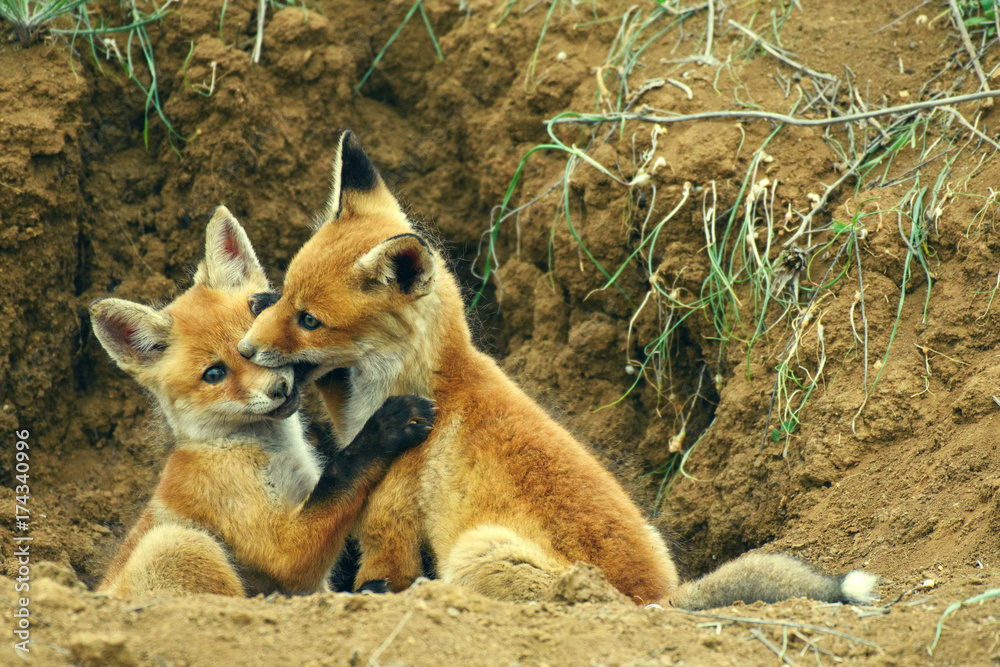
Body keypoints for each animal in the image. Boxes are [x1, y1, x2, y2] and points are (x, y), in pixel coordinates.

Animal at [89, 206, 435, 598]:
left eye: (252, 335)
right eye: (214, 374)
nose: (279, 388)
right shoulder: (284, 550)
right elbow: (340, 473)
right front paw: (387, 426)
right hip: (180, 544)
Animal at [236, 130, 876, 609]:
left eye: (311, 321)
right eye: (288, 295)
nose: (244, 349)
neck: (429, 383)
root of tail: (656, 602)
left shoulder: (389, 527)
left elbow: (384, 573)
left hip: (478, 550)